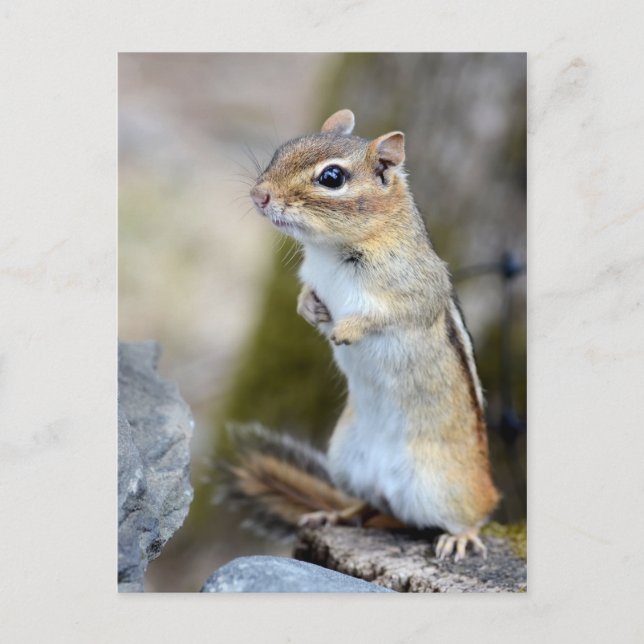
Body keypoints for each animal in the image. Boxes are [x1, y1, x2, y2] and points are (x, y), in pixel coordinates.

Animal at [222, 109, 500, 561]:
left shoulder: (416, 291)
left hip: (445, 488)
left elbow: (387, 315)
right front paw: (311, 310)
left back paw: (460, 536)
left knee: (477, 512)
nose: (258, 195)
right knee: (369, 506)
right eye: (282, 150)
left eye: (332, 178)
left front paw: (346, 328)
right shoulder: (312, 276)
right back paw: (335, 514)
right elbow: (305, 295)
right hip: (345, 462)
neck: (331, 250)